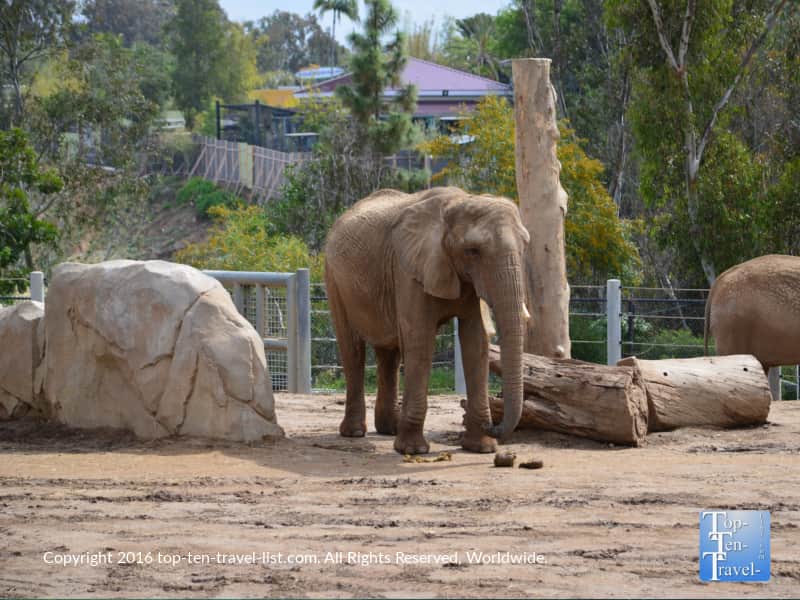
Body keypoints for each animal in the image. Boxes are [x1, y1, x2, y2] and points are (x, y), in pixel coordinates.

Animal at [324, 186, 530, 455]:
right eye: (473, 251)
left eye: (525, 246)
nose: (492, 425)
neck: (458, 201)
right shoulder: (409, 270)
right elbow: (419, 338)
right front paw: (413, 450)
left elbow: (476, 341)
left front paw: (482, 448)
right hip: (334, 279)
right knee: (352, 348)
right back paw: (355, 433)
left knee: (389, 352)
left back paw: (389, 429)